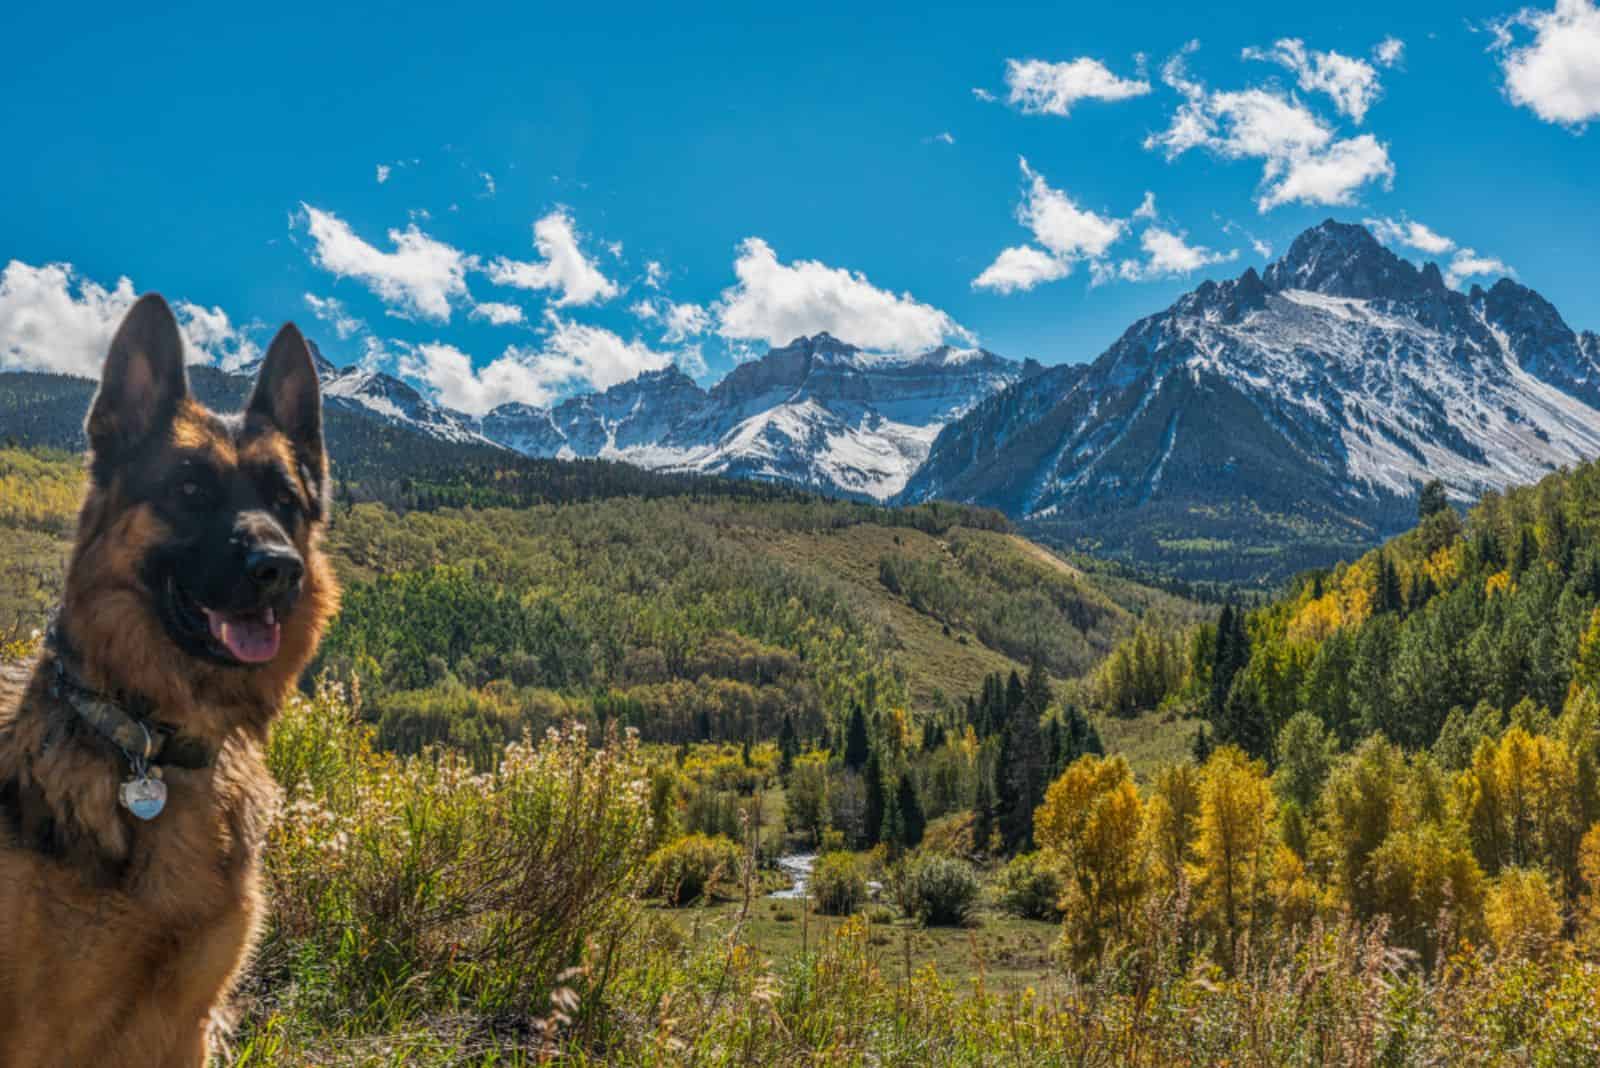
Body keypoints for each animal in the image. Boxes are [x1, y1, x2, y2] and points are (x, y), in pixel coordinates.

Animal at [0, 289, 334, 1061]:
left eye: (286, 502)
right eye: (188, 489)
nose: (281, 570)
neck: (150, 742)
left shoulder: (186, 1024)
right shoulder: (32, 1031)